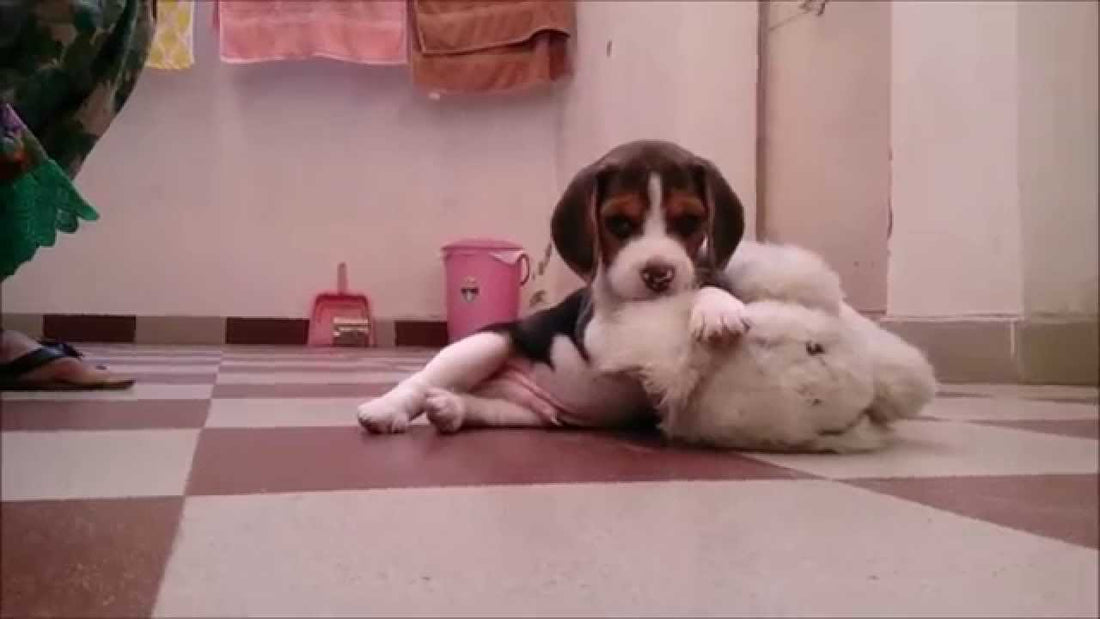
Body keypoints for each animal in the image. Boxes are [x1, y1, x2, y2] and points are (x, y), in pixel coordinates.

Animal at [356, 138, 752, 433]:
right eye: (619, 223)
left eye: (689, 221)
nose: (659, 273)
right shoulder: (599, 333)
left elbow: (702, 287)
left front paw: (718, 307)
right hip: (485, 343)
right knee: (421, 380)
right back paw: (384, 409)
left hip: (523, 413)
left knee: (476, 404)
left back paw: (451, 408)